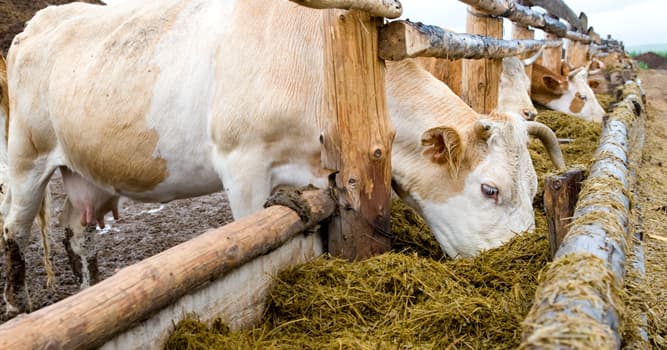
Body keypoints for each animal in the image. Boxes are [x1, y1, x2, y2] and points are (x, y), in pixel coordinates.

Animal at [1, 0, 564, 316]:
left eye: (535, 190)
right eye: (490, 189)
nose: (519, 256)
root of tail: (37, 24)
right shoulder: (241, 161)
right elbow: (246, 238)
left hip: (83, 172)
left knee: (78, 235)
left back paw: (87, 290)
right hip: (26, 158)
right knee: (15, 228)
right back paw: (20, 304)